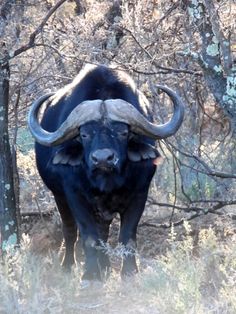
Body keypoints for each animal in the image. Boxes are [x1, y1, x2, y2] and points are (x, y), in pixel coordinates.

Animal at [28, 65, 184, 280]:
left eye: (123, 132)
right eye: (84, 134)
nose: (103, 159)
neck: (107, 182)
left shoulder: (140, 194)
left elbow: (127, 237)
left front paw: (129, 272)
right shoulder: (74, 195)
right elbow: (88, 237)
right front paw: (91, 275)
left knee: (103, 231)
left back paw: (107, 267)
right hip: (59, 196)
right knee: (70, 230)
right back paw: (69, 265)